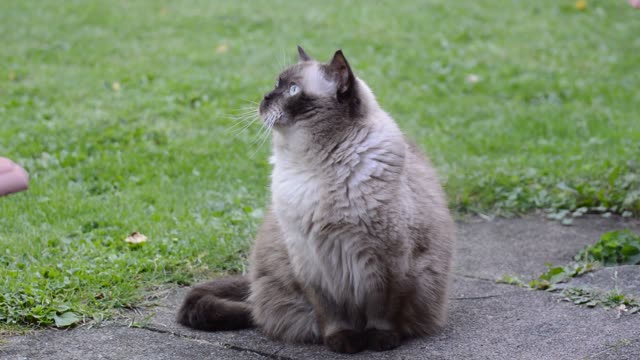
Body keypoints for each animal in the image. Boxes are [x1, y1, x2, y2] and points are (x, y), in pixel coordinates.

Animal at [176, 45, 456, 354]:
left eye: (293, 90)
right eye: (276, 84)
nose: (265, 97)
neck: (314, 167)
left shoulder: (390, 260)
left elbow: (382, 311)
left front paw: (379, 341)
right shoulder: (312, 263)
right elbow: (331, 314)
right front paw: (343, 343)